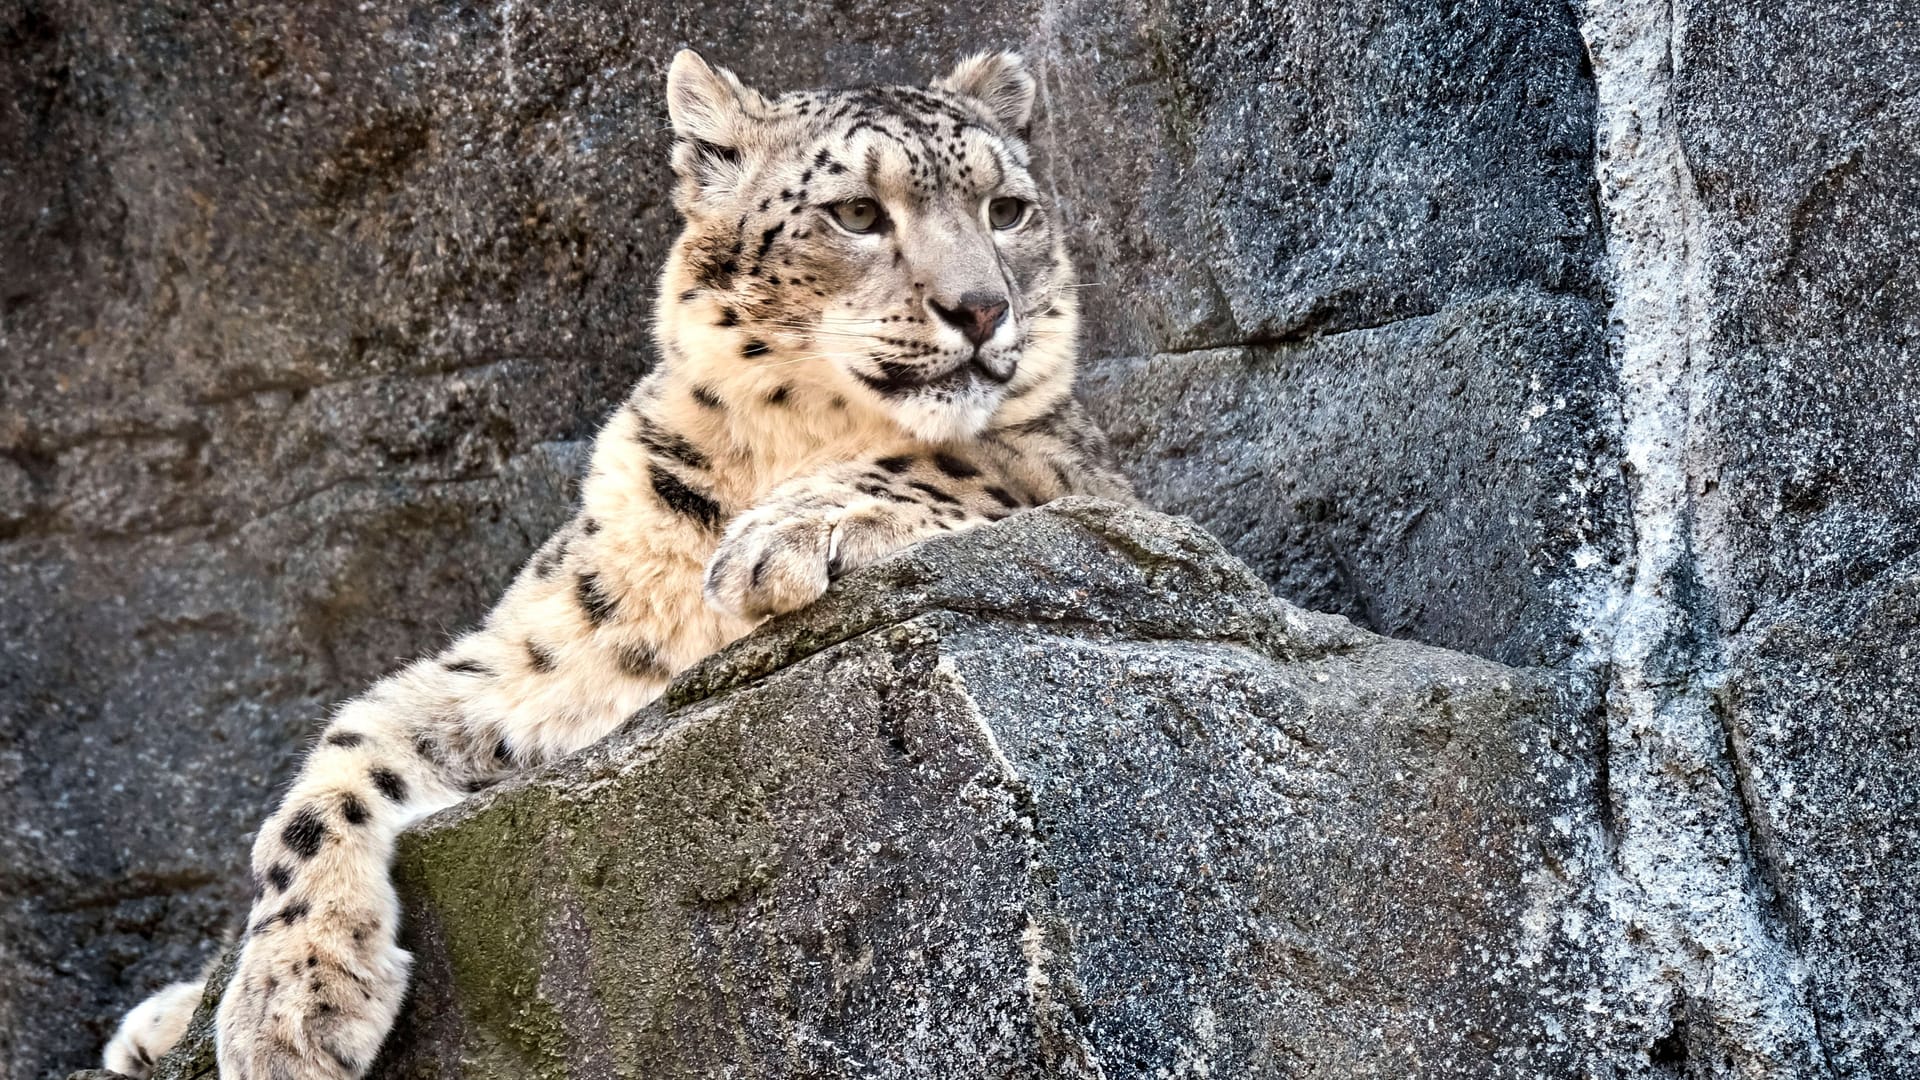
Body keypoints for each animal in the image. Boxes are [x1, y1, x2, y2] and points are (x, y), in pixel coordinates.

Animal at [105, 46, 1128, 1068]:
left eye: (1008, 209)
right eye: (857, 213)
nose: (982, 308)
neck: (783, 444)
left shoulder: (1091, 480)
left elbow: (968, 461)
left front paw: (782, 538)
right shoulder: (545, 656)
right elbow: (343, 757)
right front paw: (291, 1006)